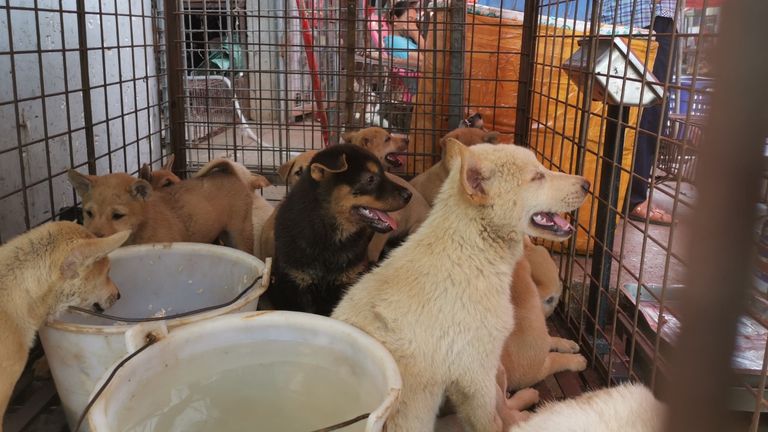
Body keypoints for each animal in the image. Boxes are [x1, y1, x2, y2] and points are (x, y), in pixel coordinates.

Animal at [332, 140, 592, 430]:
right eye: (537, 176)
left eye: (543, 168)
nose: (587, 184)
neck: (470, 251)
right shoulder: (476, 370)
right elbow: (491, 420)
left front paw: (567, 345)